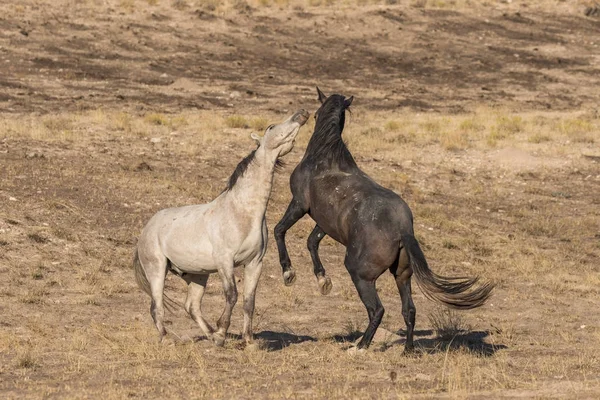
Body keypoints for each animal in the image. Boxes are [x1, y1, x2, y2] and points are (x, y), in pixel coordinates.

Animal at [135, 110, 310, 346]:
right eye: (271, 127)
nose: (302, 114)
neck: (242, 213)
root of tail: (147, 228)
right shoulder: (225, 262)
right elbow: (232, 295)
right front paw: (222, 332)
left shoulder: (254, 263)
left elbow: (249, 301)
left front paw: (248, 341)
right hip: (157, 269)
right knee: (156, 306)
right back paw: (168, 338)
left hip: (197, 275)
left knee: (192, 306)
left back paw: (209, 335)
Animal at [274, 89, 494, 352]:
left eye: (316, 113)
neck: (324, 157)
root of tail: (403, 228)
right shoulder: (325, 222)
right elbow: (312, 242)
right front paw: (323, 280)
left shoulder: (299, 204)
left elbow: (279, 231)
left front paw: (288, 273)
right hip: (402, 276)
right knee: (409, 310)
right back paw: (407, 351)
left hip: (361, 275)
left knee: (377, 310)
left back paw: (359, 347)